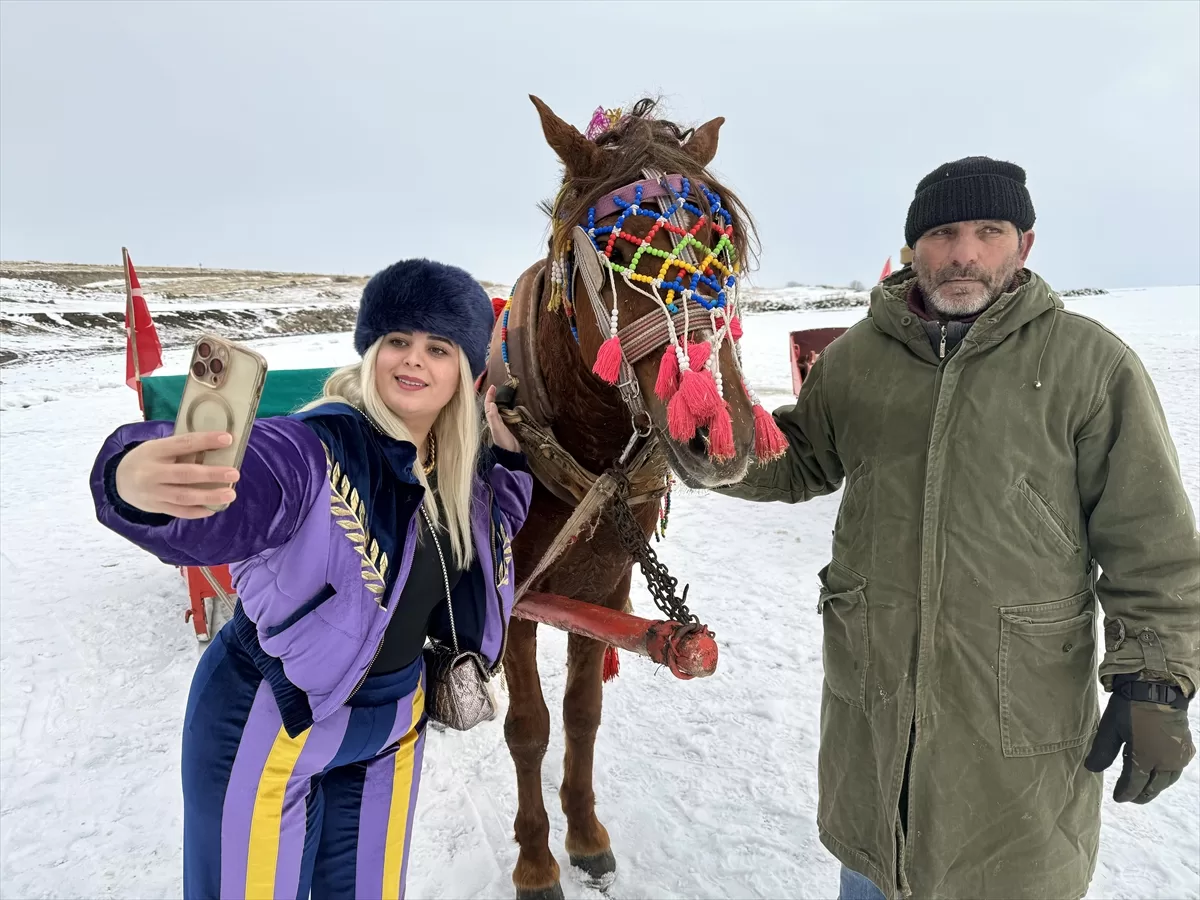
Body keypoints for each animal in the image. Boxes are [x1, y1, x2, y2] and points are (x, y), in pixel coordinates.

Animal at [489, 97, 768, 900]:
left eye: (722, 248)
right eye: (623, 256)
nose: (720, 432)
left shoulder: (604, 589)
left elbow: (582, 714)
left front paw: (586, 836)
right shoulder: (514, 598)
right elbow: (528, 728)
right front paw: (535, 862)